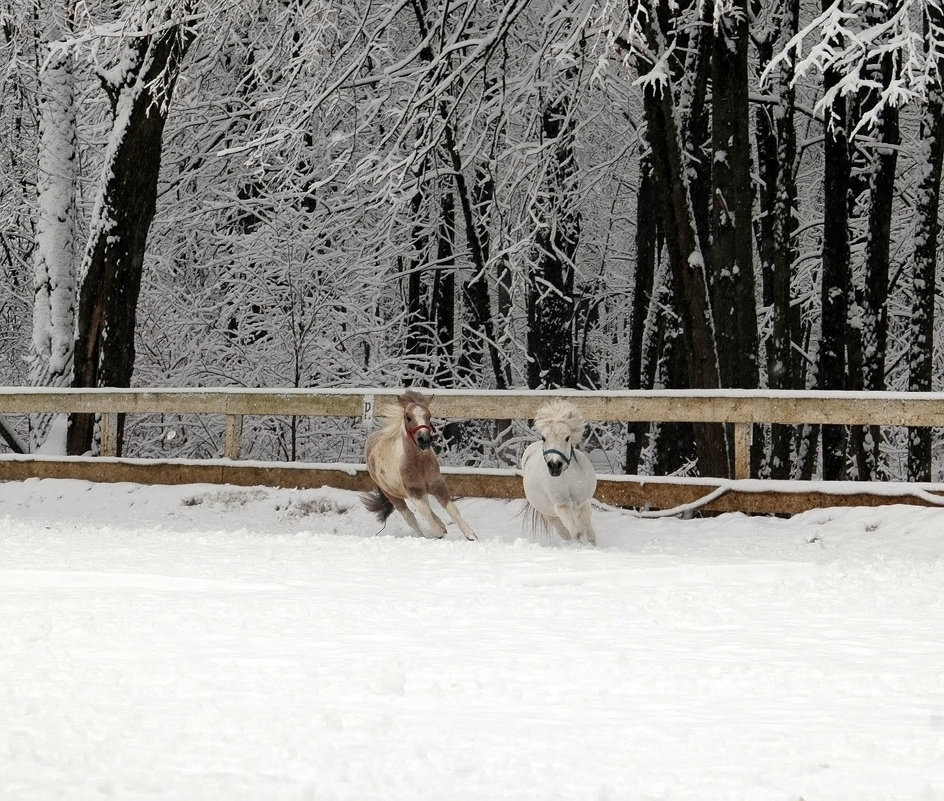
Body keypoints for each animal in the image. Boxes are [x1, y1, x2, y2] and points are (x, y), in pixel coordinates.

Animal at [364, 390, 480, 540]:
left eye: (429, 416)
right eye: (408, 417)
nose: (424, 440)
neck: (419, 464)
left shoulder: (438, 485)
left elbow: (452, 509)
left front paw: (470, 535)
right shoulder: (413, 491)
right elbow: (424, 512)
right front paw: (438, 533)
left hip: (420, 492)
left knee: (427, 509)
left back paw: (441, 524)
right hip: (393, 495)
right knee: (410, 518)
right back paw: (424, 535)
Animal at [520, 398, 592, 544]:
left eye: (567, 437)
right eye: (543, 437)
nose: (554, 465)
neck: (568, 479)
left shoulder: (582, 502)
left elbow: (588, 532)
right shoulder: (562, 506)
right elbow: (577, 533)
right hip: (551, 515)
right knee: (566, 533)